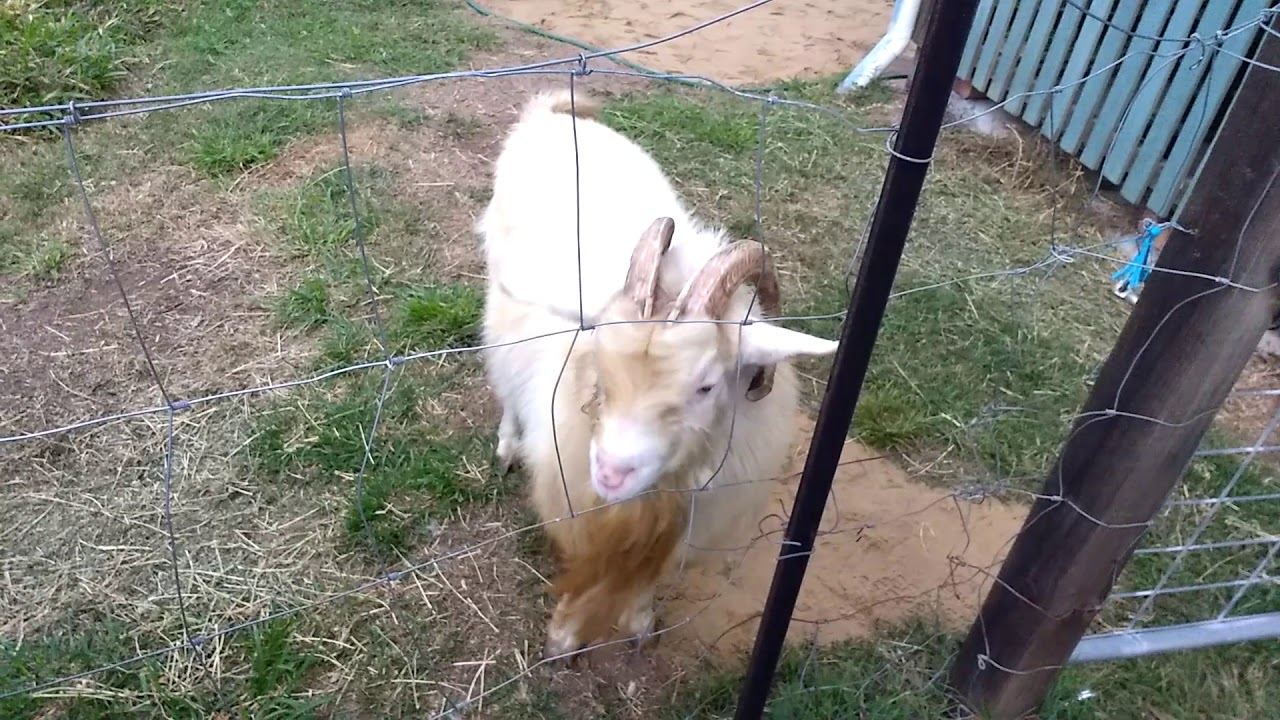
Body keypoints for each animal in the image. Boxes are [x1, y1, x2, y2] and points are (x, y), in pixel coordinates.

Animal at [477, 89, 840, 658]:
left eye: (707, 385)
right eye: (600, 374)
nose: (610, 473)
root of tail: (550, 116)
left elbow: (646, 582)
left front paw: (638, 622)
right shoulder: (575, 499)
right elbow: (584, 570)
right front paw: (564, 636)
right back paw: (509, 444)